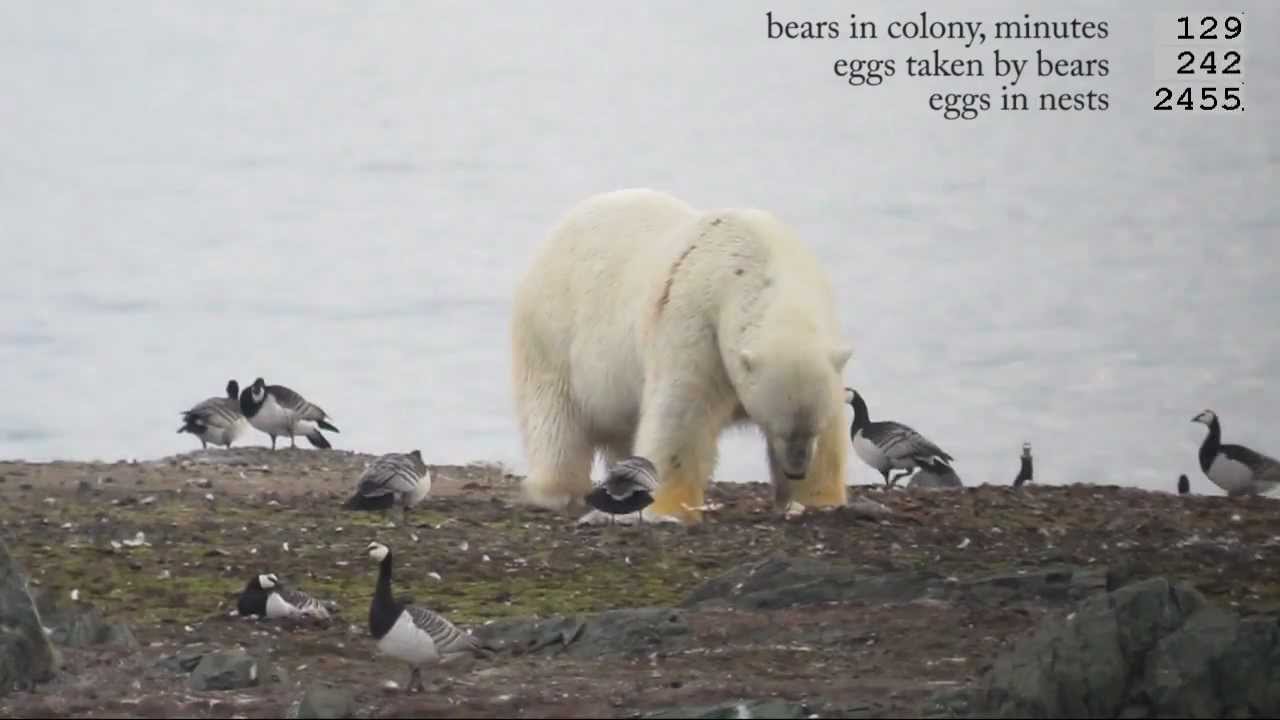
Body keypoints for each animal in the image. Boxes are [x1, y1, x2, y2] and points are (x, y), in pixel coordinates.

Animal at [506, 188, 849, 525]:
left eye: (812, 428)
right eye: (779, 428)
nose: (797, 470)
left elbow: (832, 434)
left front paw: (818, 499)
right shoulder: (697, 323)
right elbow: (683, 417)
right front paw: (669, 508)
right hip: (552, 334)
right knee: (556, 419)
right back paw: (559, 491)